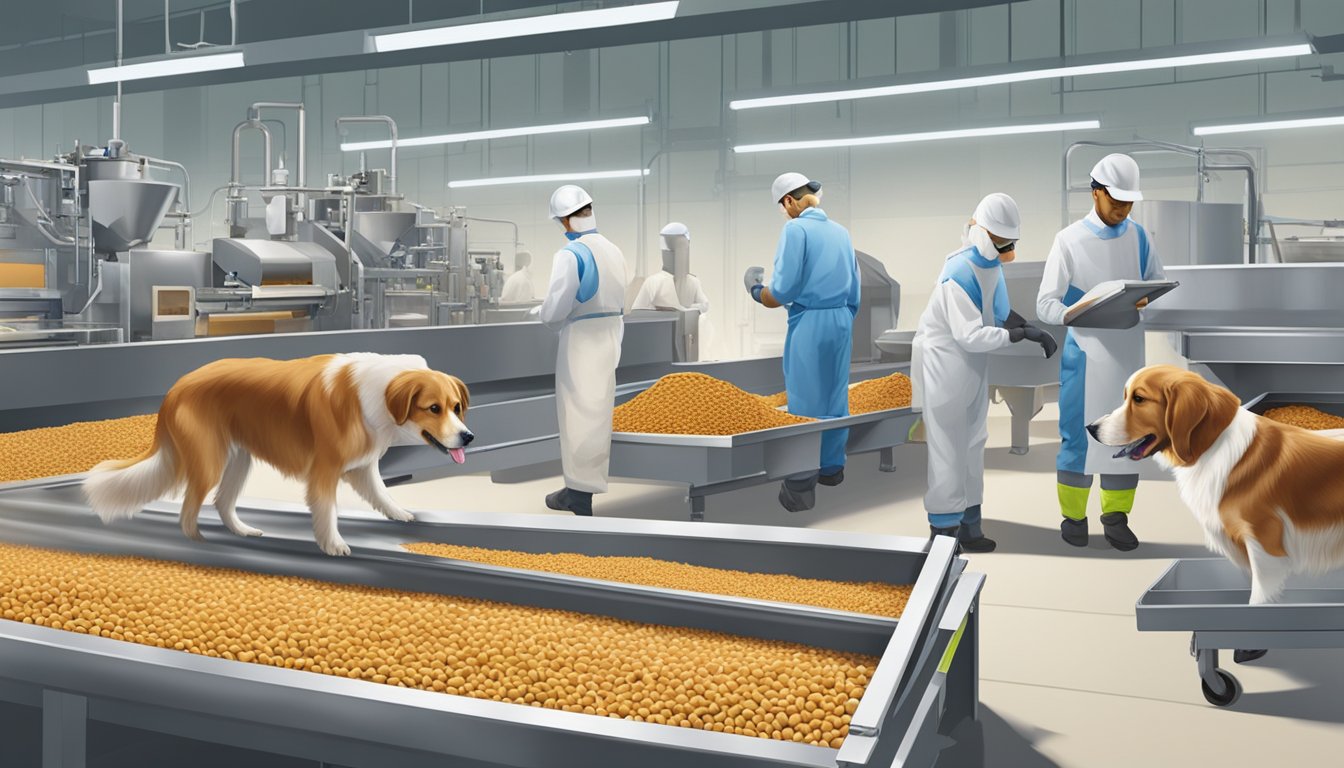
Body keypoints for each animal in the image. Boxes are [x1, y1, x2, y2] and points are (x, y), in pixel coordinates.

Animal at [85, 355, 473, 559]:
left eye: (456, 407)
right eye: (433, 408)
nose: (468, 437)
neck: (381, 393)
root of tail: (176, 387)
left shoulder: (362, 466)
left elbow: (381, 492)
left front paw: (400, 513)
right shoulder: (325, 470)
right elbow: (328, 512)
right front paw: (334, 545)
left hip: (239, 459)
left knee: (222, 502)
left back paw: (242, 531)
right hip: (210, 460)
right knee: (189, 510)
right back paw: (200, 544)